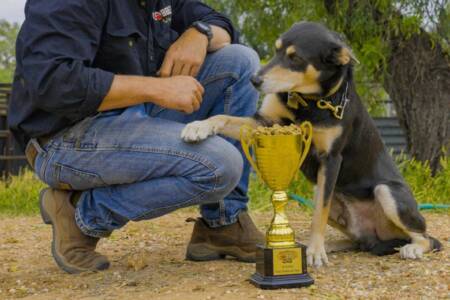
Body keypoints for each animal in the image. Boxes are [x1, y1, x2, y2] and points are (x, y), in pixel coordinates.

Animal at [181, 22, 442, 268]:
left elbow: (318, 214)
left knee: (427, 237)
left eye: (295, 58)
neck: (310, 102)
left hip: (386, 192)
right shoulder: (264, 124)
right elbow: (222, 118)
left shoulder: (331, 158)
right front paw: (198, 127)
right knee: (360, 241)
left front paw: (316, 252)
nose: (254, 80)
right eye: (276, 51)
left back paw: (412, 248)